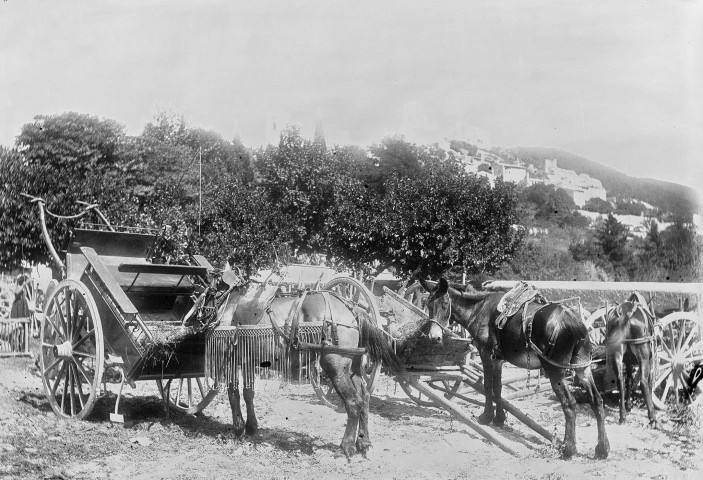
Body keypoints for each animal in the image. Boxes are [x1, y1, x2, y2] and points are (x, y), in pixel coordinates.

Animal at [214, 282, 402, 458]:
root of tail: (352, 309)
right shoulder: (247, 361)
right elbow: (248, 394)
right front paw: (251, 427)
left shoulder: (229, 361)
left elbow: (233, 395)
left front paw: (238, 429)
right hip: (352, 368)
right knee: (364, 398)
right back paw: (364, 442)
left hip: (336, 367)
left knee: (353, 402)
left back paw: (346, 446)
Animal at [418, 278, 612, 458]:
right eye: (428, 304)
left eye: (444, 305)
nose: (434, 337)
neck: (479, 308)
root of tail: (576, 324)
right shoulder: (498, 359)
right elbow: (498, 388)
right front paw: (499, 419)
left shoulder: (485, 354)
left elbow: (488, 386)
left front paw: (486, 417)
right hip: (582, 367)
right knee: (597, 400)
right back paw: (602, 449)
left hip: (555, 371)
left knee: (569, 403)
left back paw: (569, 449)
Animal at [604, 296, 660, 428]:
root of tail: (626, 314)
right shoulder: (649, 360)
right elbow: (649, 383)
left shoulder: (628, 362)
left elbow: (629, 381)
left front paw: (629, 405)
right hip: (643, 356)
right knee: (643, 382)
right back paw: (652, 418)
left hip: (616, 353)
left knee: (620, 380)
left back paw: (622, 415)